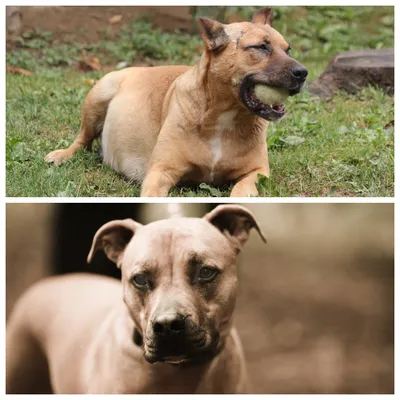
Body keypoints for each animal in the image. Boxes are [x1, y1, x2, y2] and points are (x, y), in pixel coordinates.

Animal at [44, 7, 306, 196]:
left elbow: (242, 189)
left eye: (288, 49)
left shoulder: (257, 172)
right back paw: (63, 154)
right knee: (82, 140)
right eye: (260, 47)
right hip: (99, 94)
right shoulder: (160, 172)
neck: (224, 117)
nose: (303, 72)